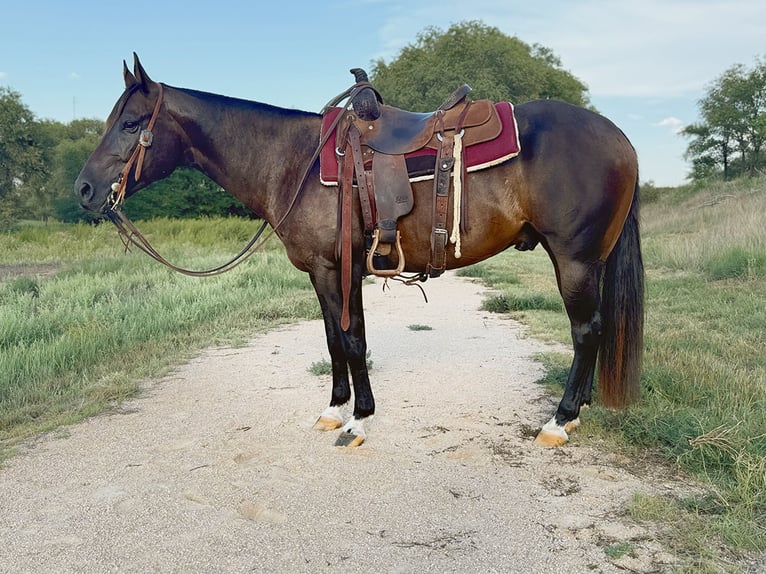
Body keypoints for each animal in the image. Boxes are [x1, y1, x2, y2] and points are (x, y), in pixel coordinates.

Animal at [76, 54, 640, 450]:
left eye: (131, 124)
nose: (84, 189)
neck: (294, 162)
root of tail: (620, 138)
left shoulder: (337, 269)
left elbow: (351, 340)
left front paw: (359, 420)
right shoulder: (324, 273)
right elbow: (334, 339)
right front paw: (334, 410)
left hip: (575, 261)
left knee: (586, 331)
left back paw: (559, 420)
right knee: (594, 331)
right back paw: (580, 406)